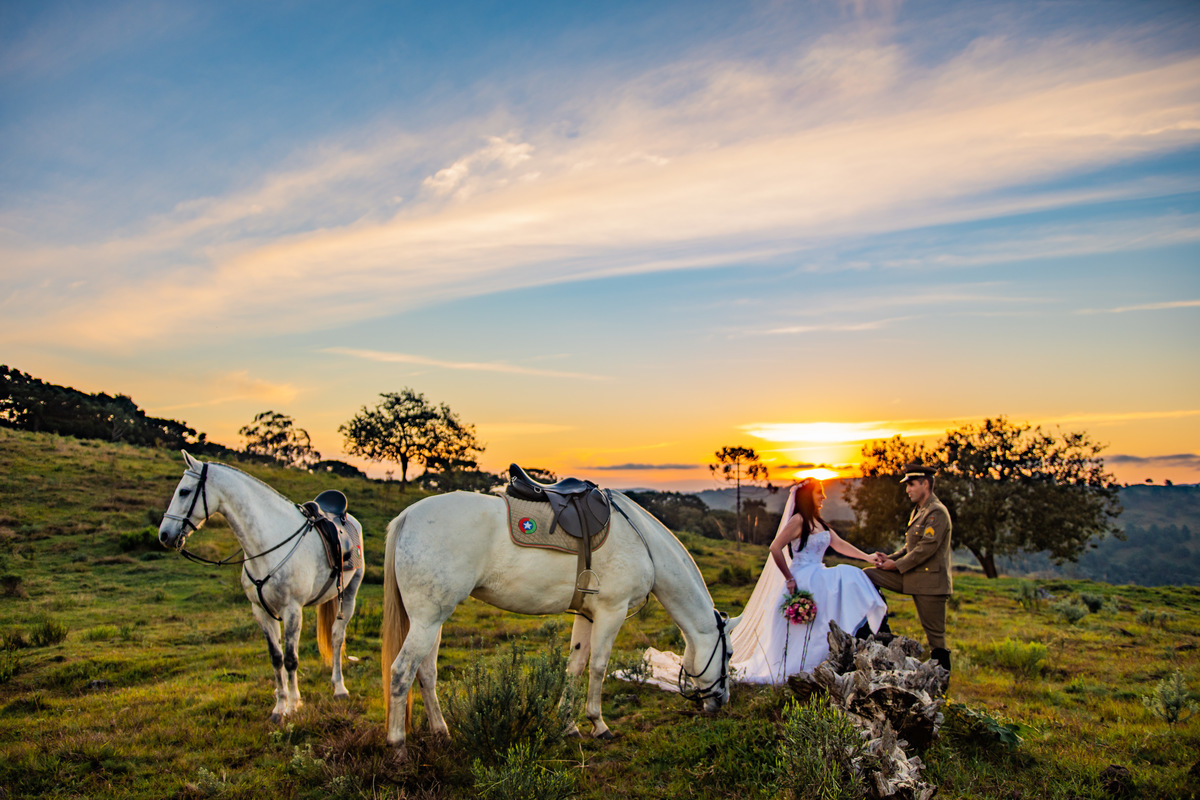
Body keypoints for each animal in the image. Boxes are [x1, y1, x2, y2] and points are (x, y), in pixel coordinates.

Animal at [158, 450, 365, 722]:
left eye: (183, 491)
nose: (164, 535)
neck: (267, 544)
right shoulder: (261, 611)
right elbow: (276, 658)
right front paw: (279, 707)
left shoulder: (292, 610)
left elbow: (291, 659)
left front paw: (294, 705)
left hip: (349, 594)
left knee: (337, 637)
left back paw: (340, 688)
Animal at [380, 489, 738, 758]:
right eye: (730, 654)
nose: (721, 701)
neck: (642, 542)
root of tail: (407, 516)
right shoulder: (612, 611)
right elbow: (598, 667)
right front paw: (598, 725)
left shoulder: (587, 614)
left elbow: (575, 665)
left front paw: (569, 725)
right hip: (427, 621)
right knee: (401, 672)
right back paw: (398, 749)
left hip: (432, 621)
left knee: (426, 673)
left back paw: (441, 733)